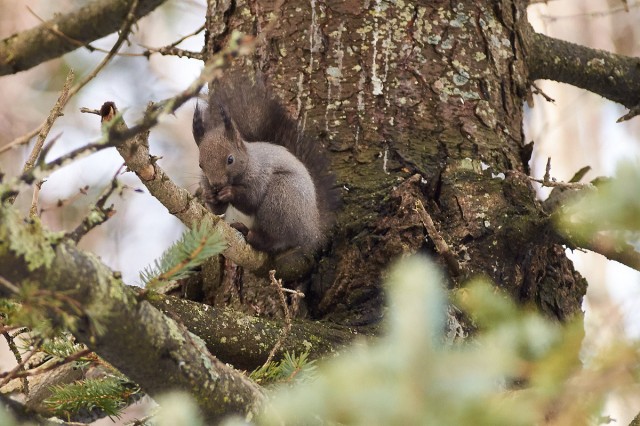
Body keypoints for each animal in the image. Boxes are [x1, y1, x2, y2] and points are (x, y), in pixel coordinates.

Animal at [192, 75, 340, 254]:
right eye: (200, 165)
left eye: (230, 159)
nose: (216, 184)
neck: (247, 161)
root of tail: (313, 230)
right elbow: (218, 212)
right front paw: (209, 197)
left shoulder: (260, 173)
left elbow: (252, 199)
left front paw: (229, 192)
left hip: (281, 199)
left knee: (275, 238)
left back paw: (251, 235)